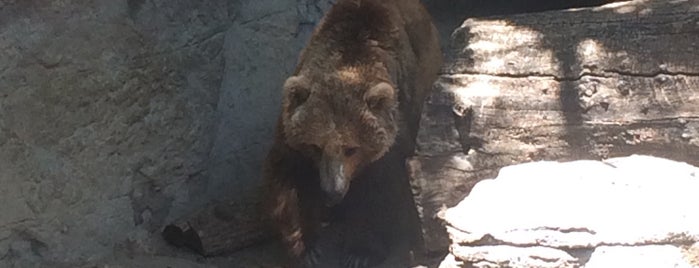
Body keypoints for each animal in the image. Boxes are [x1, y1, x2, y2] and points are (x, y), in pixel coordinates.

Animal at [262, 0, 442, 266]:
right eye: (316, 146)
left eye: (351, 149)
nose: (332, 191)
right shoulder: (291, 134)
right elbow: (289, 179)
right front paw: (306, 248)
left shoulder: (392, 139)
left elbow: (381, 191)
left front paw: (361, 252)